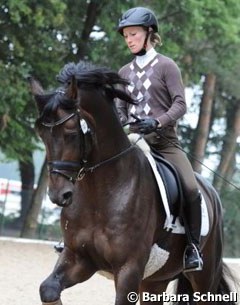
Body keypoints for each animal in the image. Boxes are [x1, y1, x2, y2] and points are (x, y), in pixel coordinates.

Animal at [29, 61, 236, 304]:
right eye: (41, 133)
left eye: (71, 130)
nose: (59, 195)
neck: (100, 194)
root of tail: (211, 191)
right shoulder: (78, 258)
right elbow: (48, 289)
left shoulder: (129, 269)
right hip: (154, 281)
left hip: (204, 275)